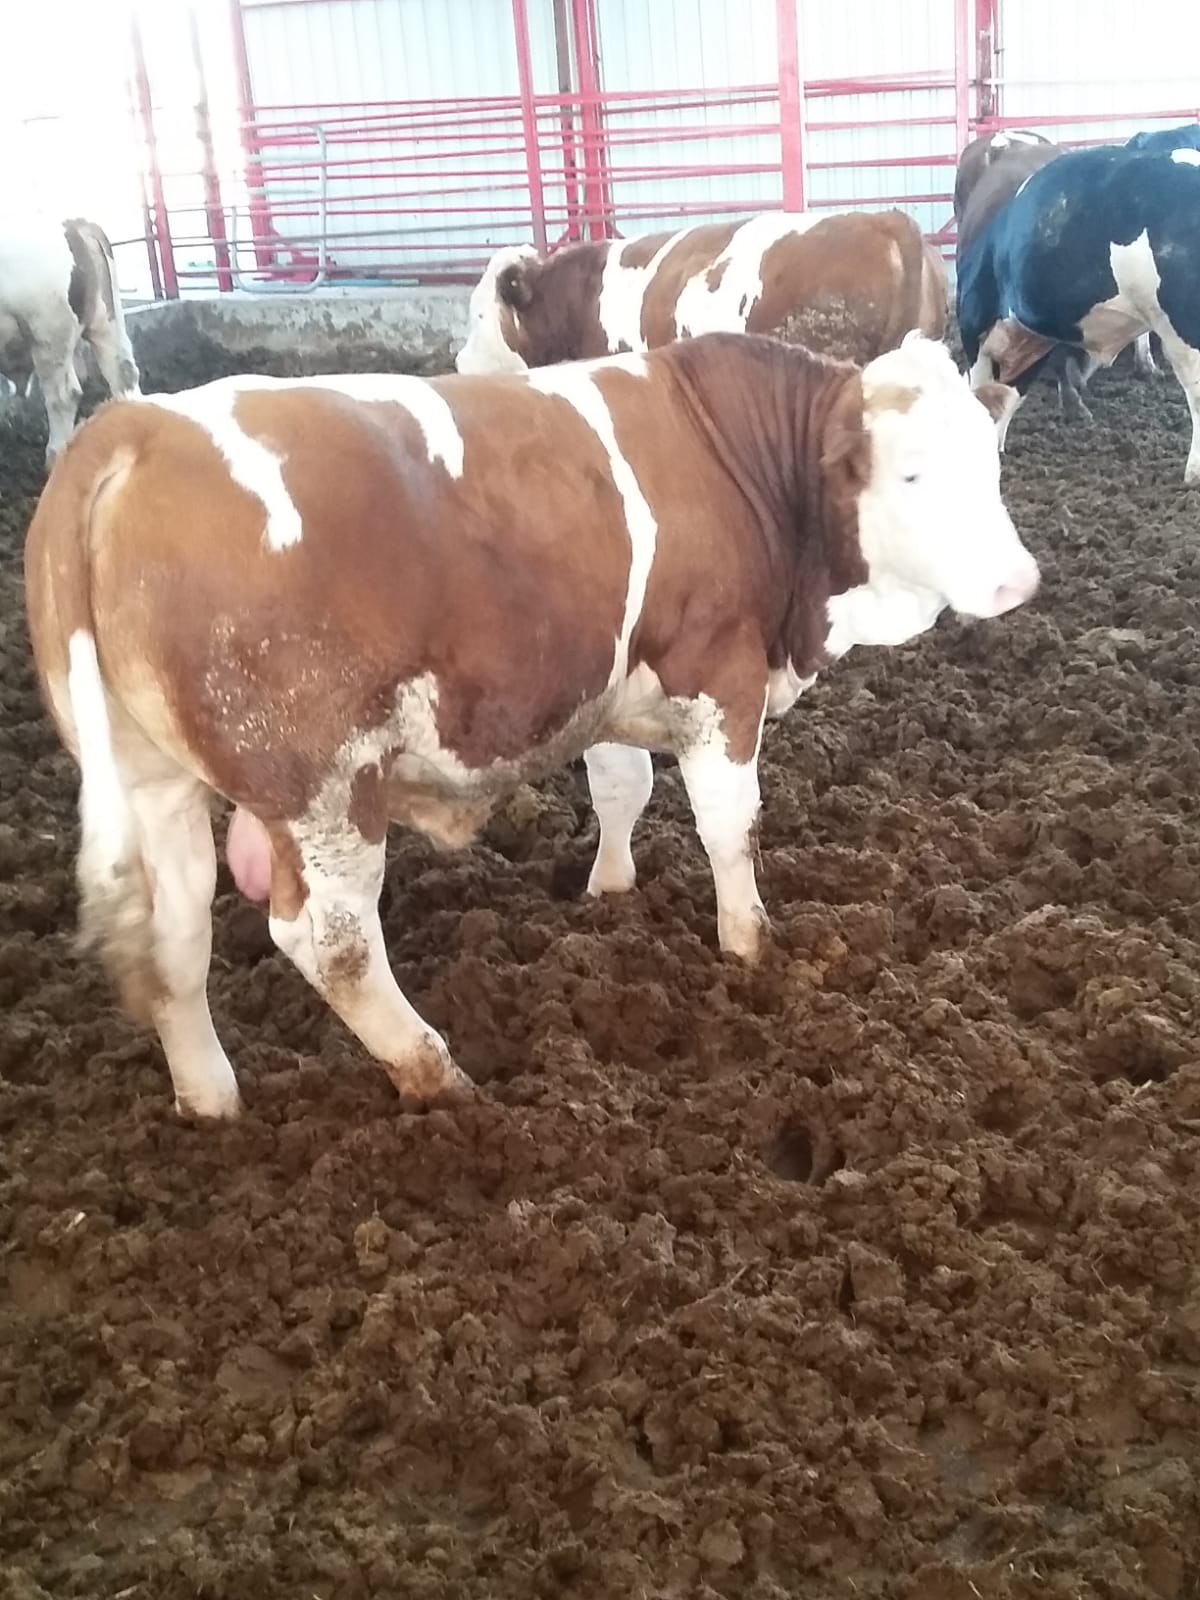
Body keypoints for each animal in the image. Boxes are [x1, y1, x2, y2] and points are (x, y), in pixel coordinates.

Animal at [24, 331, 1037, 1121]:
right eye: (912, 472)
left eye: (991, 465)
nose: (1018, 581)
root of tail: (132, 428)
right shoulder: (720, 674)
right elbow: (730, 828)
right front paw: (751, 949)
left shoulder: (614, 680)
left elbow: (623, 788)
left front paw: (609, 891)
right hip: (324, 784)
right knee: (332, 942)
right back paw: (436, 1074)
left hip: (153, 784)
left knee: (175, 934)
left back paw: (213, 1101)